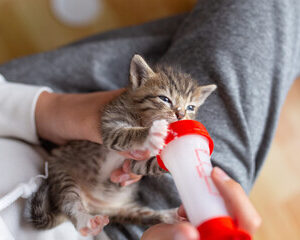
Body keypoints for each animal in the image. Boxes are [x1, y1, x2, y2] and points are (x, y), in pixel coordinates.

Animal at [27, 55, 216, 237]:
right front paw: (152, 133)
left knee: (144, 216)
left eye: (190, 107)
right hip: (62, 176)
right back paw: (84, 221)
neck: (141, 118)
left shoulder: (133, 162)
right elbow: (128, 133)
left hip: (123, 210)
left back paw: (170, 216)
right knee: (69, 202)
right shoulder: (110, 127)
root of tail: (92, 204)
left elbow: (144, 165)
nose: (181, 114)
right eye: (164, 99)